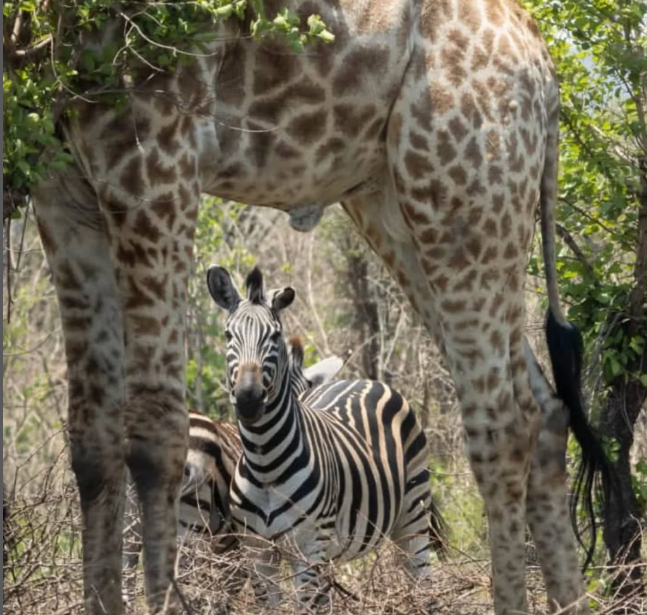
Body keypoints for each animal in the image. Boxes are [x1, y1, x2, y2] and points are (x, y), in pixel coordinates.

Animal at [208, 264, 446, 612]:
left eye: (274, 336)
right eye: (228, 335)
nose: (248, 399)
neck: (265, 466)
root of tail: (366, 380)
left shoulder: (310, 551)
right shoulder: (258, 554)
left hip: (413, 515)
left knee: (423, 582)